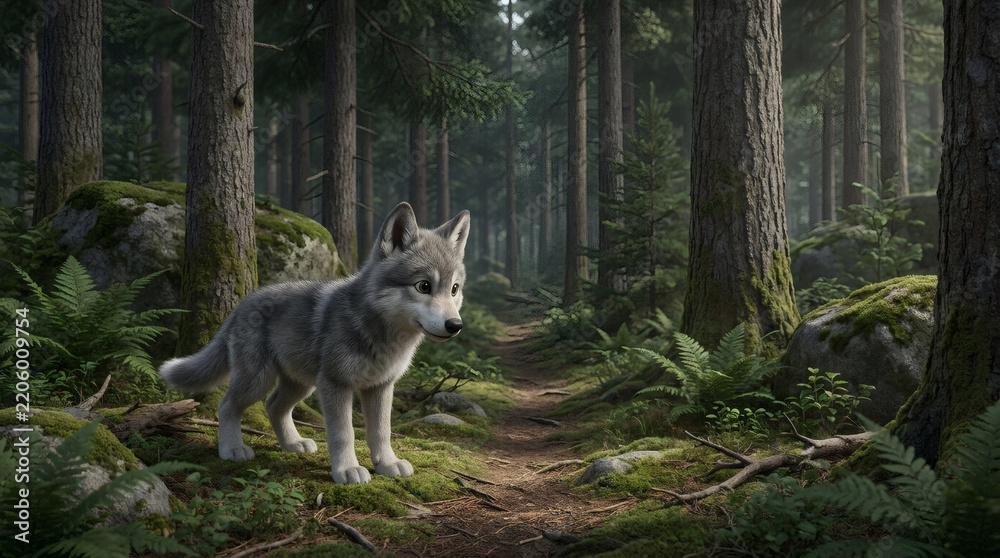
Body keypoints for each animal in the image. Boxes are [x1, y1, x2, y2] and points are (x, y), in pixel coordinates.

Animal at [159, 202, 470, 484]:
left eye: (454, 289)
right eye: (424, 286)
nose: (455, 326)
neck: (381, 335)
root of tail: (242, 304)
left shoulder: (381, 387)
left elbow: (381, 431)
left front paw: (387, 464)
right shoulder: (335, 385)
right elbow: (344, 433)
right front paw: (347, 470)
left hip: (300, 385)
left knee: (274, 407)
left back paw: (293, 445)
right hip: (260, 380)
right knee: (226, 405)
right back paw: (232, 449)